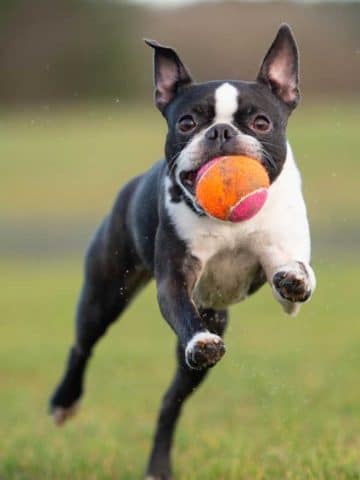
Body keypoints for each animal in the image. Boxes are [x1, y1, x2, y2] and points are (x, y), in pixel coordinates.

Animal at [50, 25, 316, 480]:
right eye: (187, 122)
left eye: (261, 122)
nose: (221, 132)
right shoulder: (175, 280)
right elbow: (181, 310)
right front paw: (201, 341)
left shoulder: (283, 255)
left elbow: (294, 277)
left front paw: (295, 277)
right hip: (106, 293)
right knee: (83, 345)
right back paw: (65, 403)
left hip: (204, 332)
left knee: (169, 403)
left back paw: (159, 464)